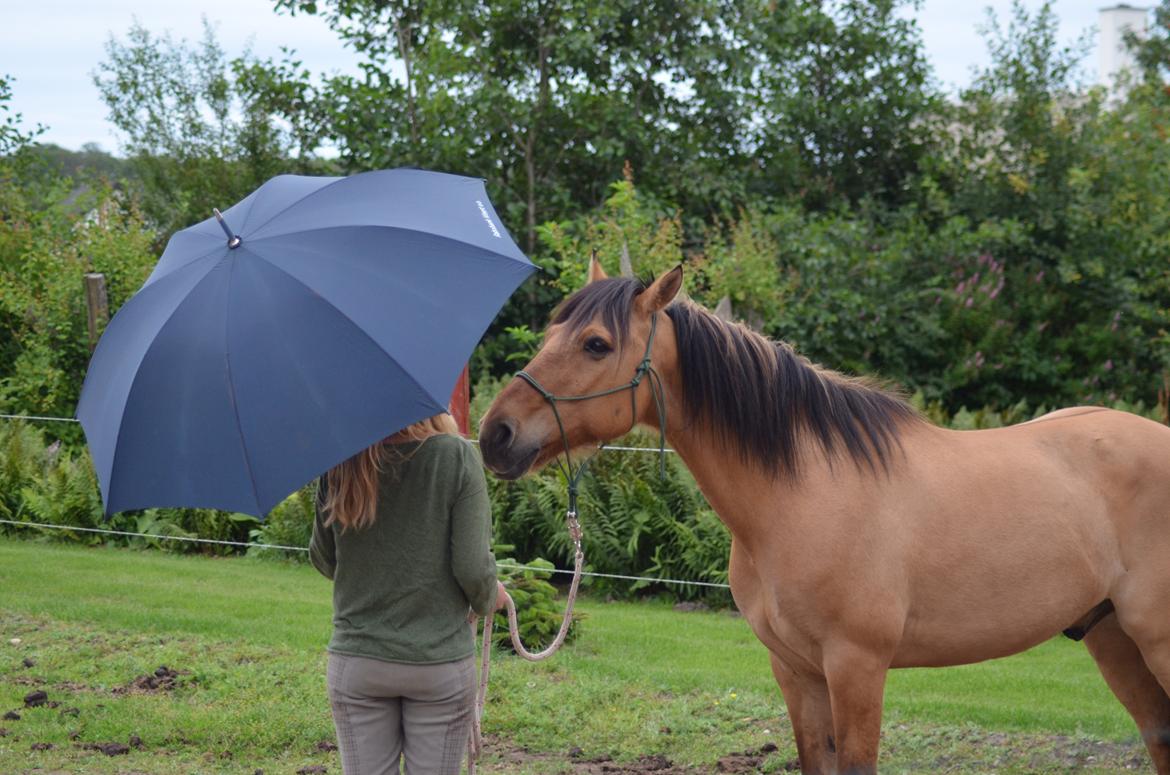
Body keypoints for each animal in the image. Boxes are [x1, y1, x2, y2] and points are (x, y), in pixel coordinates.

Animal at [479, 262, 1170, 775]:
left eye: (596, 344)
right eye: (549, 334)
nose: (496, 436)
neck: (803, 492)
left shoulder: (855, 666)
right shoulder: (796, 670)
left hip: (1154, 638)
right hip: (1112, 637)